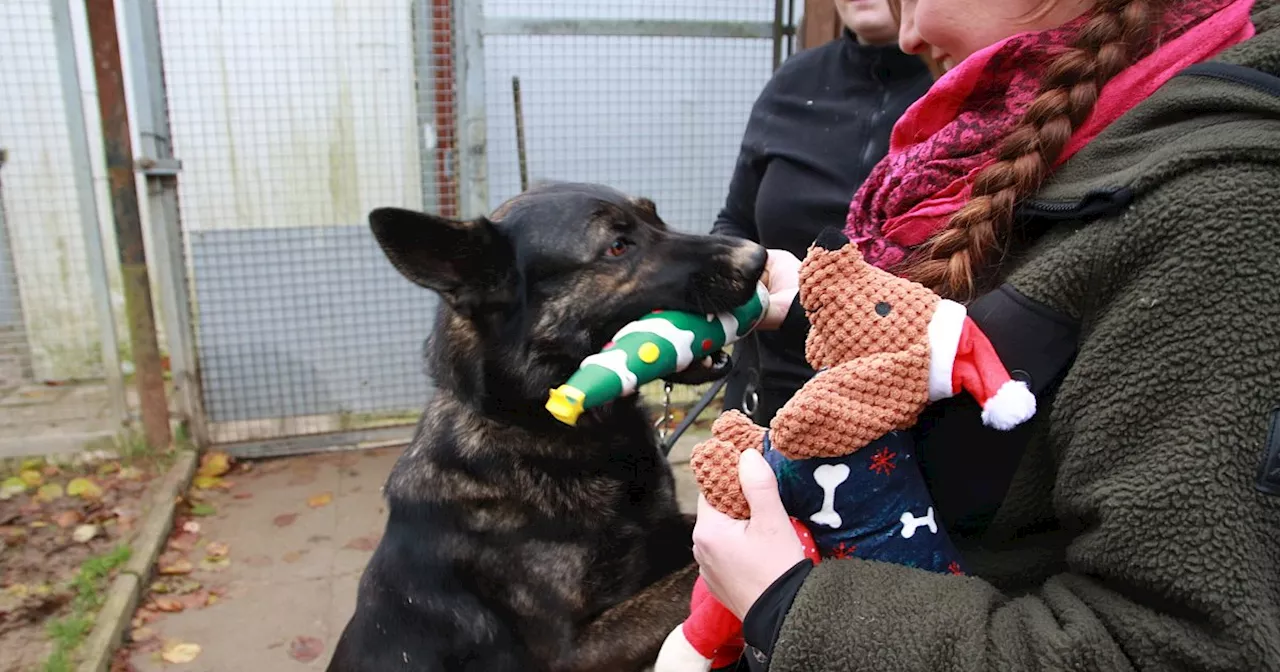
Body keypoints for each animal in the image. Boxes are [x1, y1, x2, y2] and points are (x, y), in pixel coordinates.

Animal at [330, 183, 762, 670]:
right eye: (618, 246)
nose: (758, 256)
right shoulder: (570, 652)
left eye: (656, 217)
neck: (553, 432)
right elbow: (689, 580)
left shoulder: (661, 533)